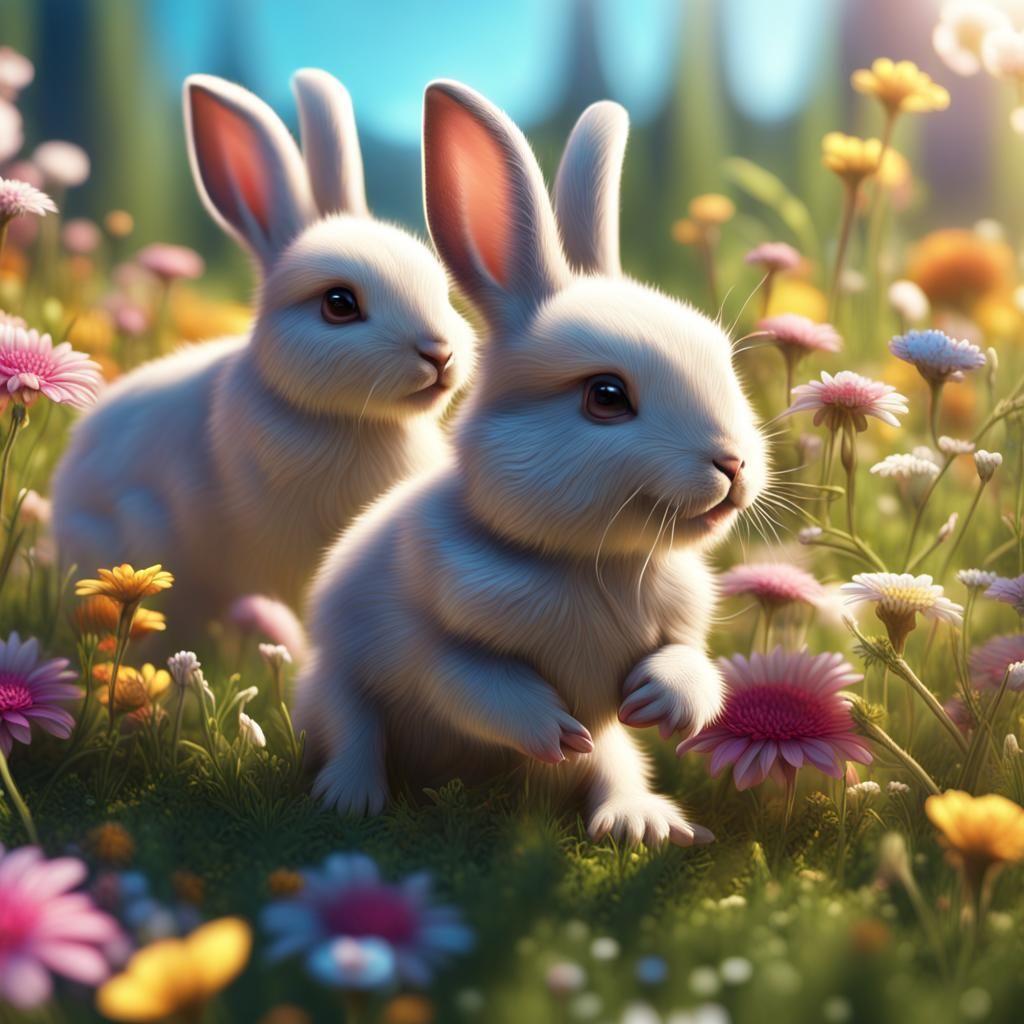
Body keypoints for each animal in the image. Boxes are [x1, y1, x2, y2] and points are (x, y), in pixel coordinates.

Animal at [293, 80, 769, 848]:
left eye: (724, 364)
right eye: (606, 396)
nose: (734, 464)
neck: (592, 566)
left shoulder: (682, 626)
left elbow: (692, 663)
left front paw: (661, 703)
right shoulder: (427, 640)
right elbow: (469, 679)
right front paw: (553, 726)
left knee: (616, 765)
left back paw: (642, 821)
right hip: (334, 683)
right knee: (355, 729)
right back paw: (350, 798)